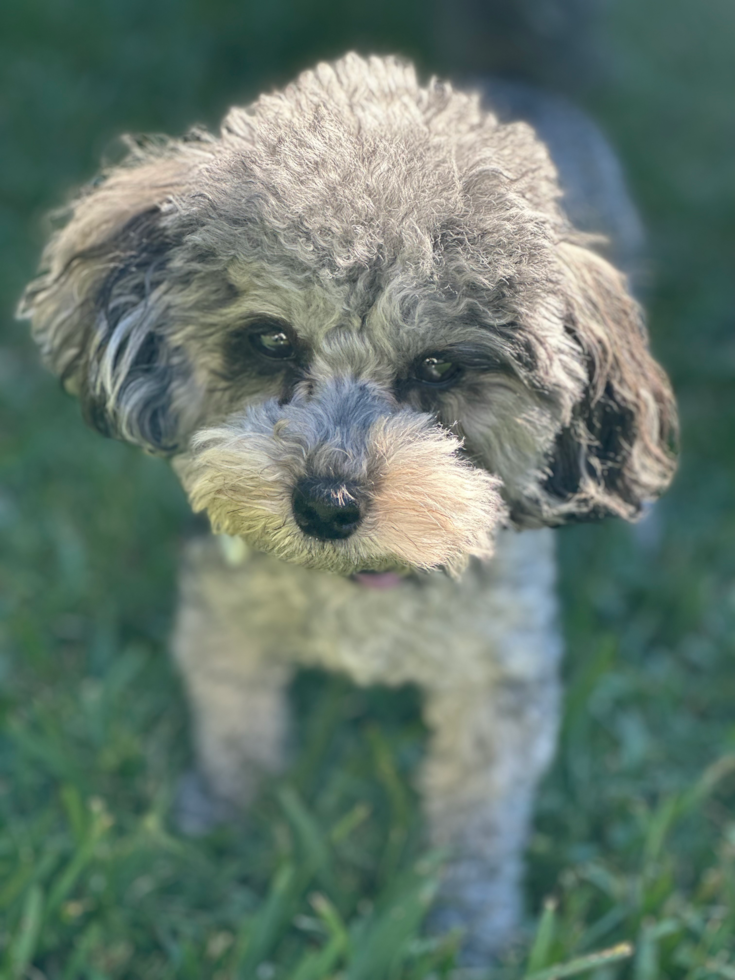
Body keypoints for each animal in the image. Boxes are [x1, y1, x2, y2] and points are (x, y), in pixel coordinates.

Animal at [20, 55, 680, 964]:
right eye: (270, 340)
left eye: (438, 366)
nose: (325, 504)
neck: (359, 582)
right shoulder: (225, 618)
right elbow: (235, 730)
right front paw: (220, 827)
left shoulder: (499, 677)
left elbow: (478, 816)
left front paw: (469, 931)